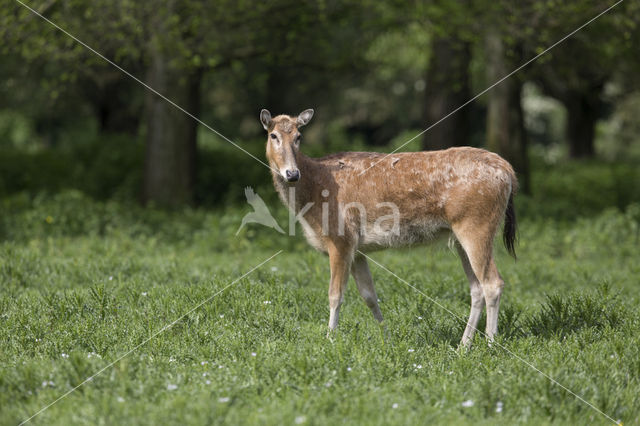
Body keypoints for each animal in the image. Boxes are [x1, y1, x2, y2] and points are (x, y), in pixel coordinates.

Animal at [258, 107, 516, 346]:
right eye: (273, 135)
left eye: (299, 136)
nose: (292, 173)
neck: (312, 194)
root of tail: (508, 171)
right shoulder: (357, 249)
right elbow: (369, 296)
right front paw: (388, 338)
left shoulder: (340, 238)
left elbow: (335, 295)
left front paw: (329, 339)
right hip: (461, 234)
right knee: (476, 288)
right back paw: (463, 346)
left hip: (477, 224)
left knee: (493, 283)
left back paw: (490, 344)